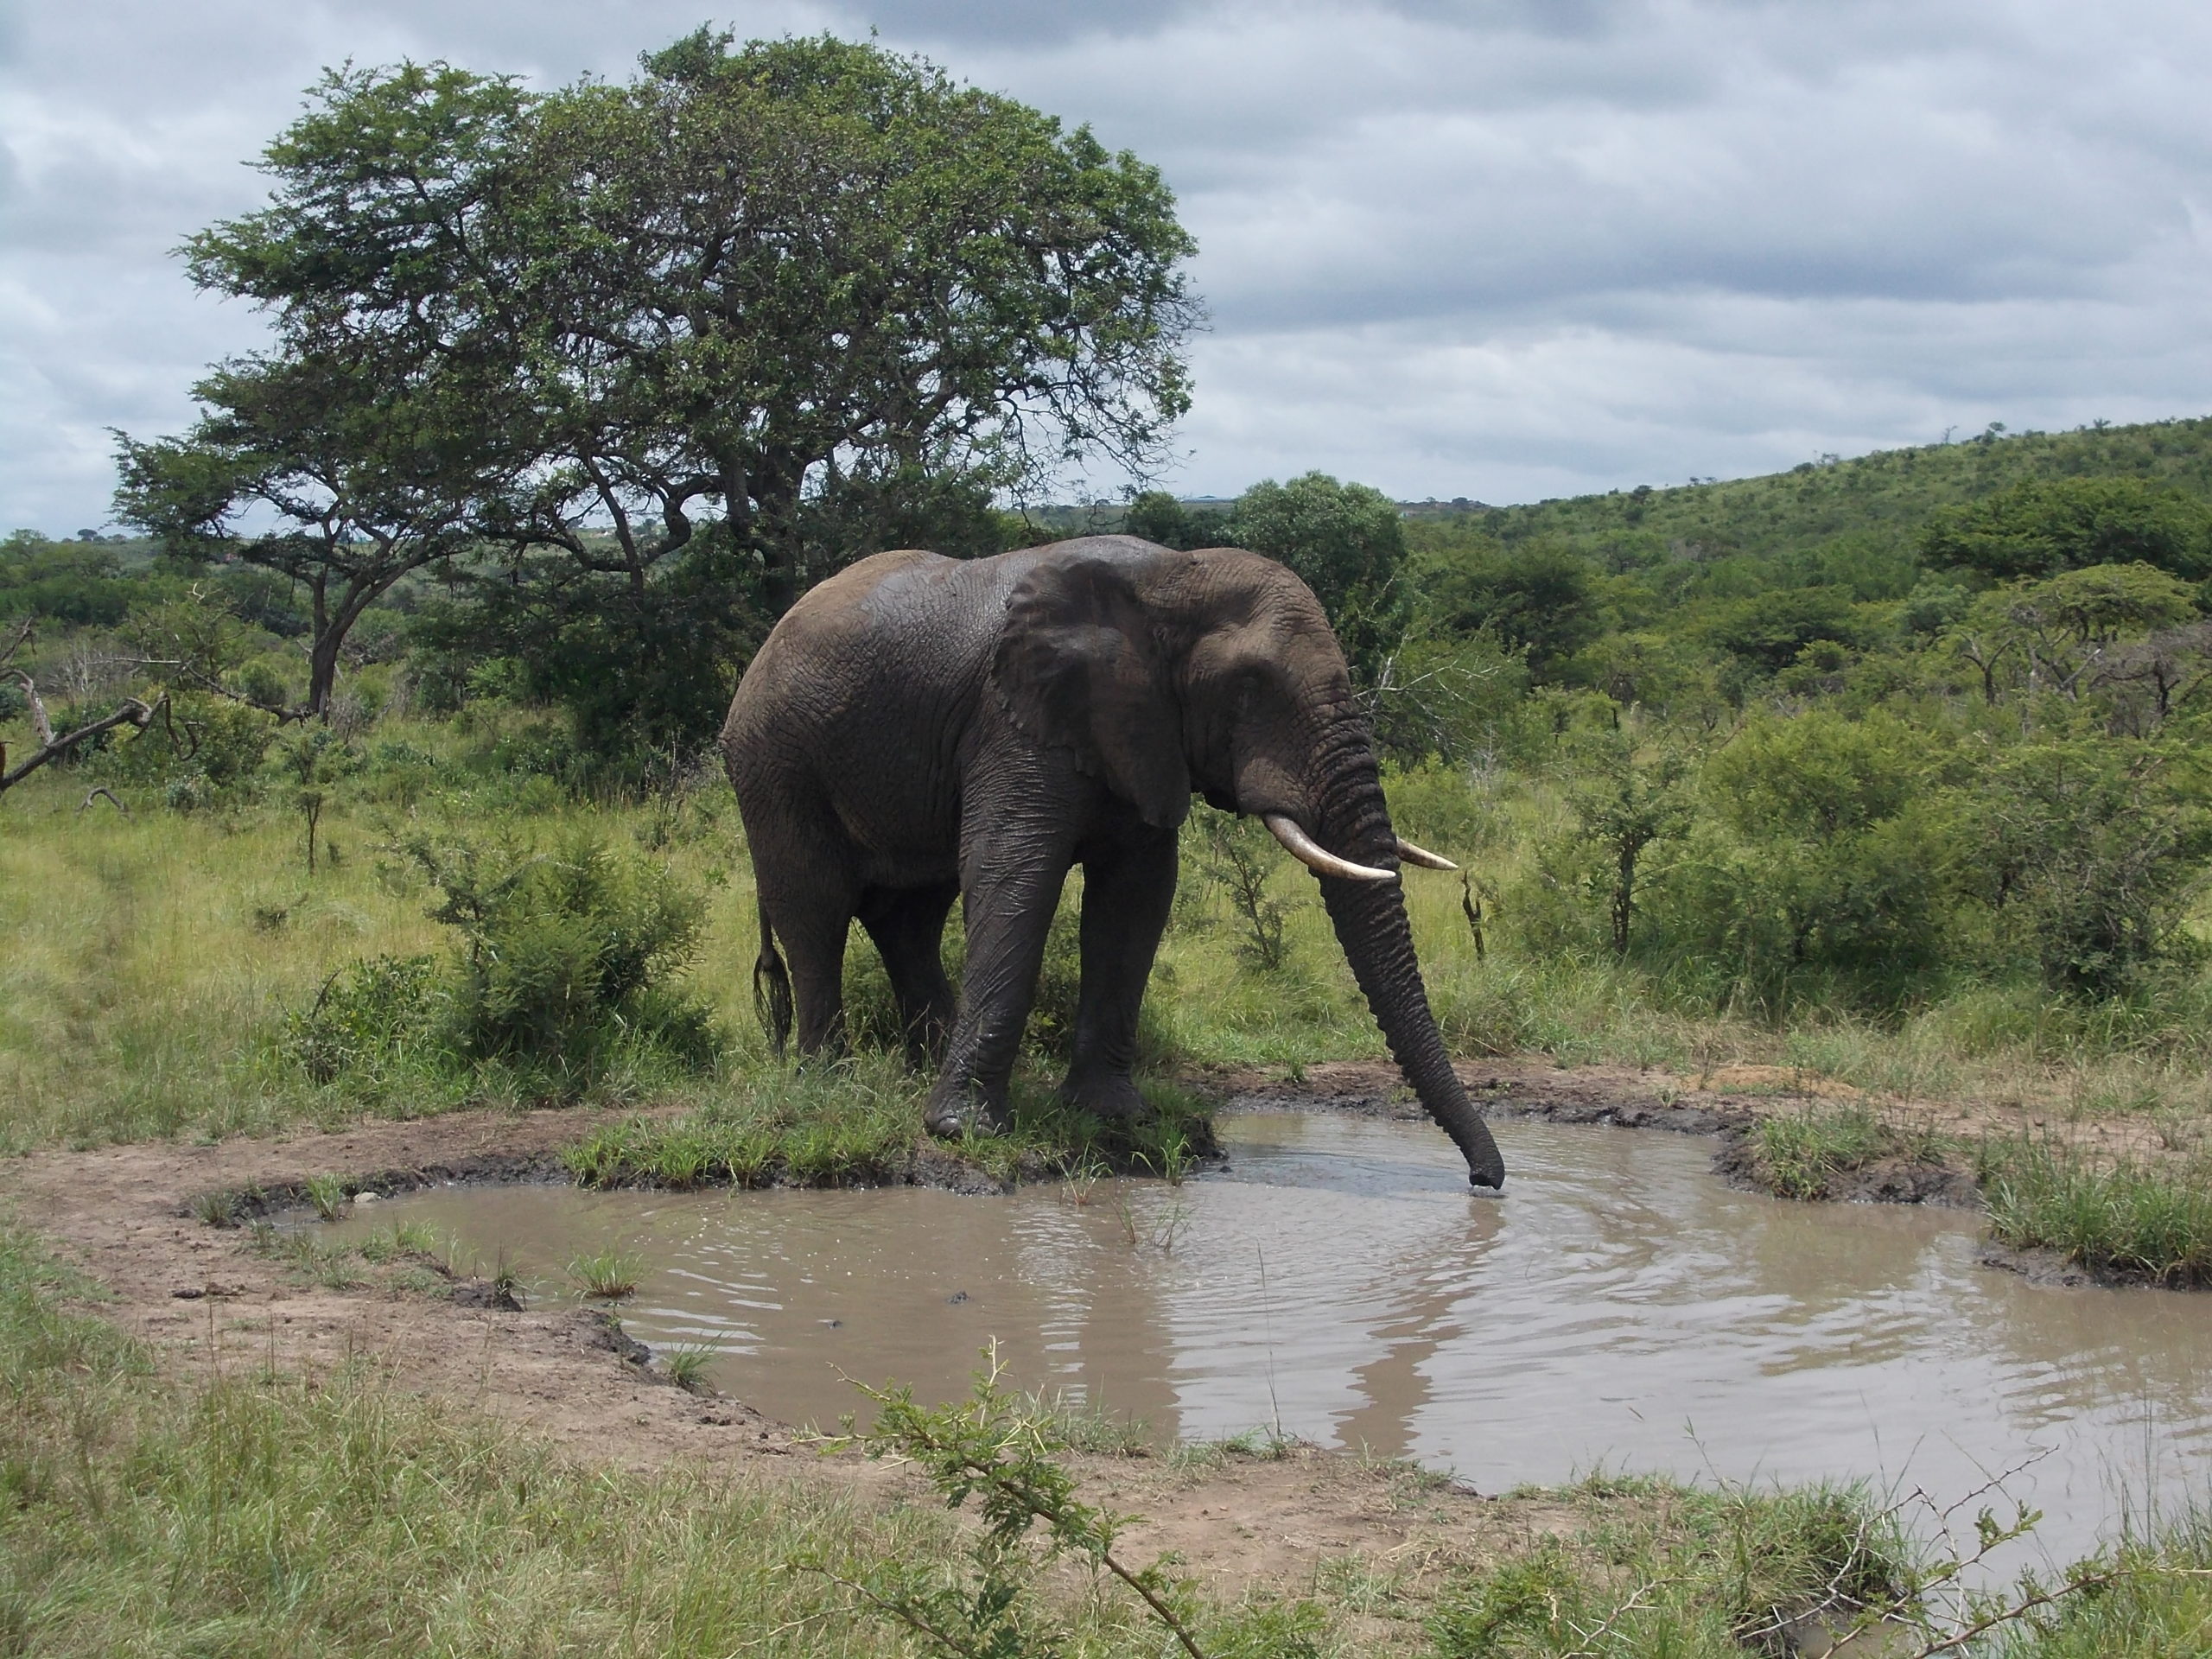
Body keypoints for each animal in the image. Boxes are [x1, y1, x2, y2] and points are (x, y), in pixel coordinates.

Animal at [716, 528, 1513, 1185]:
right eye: (1249, 687)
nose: (1486, 1180)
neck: (1172, 577)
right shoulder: (1015, 722)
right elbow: (1014, 875)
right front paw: (966, 1133)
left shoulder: (1139, 733)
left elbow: (1136, 896)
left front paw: (1113, 1116)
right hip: (774, 760)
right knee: (815, 910)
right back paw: (830, 1083)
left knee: (909, 915)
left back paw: (922, 1067)